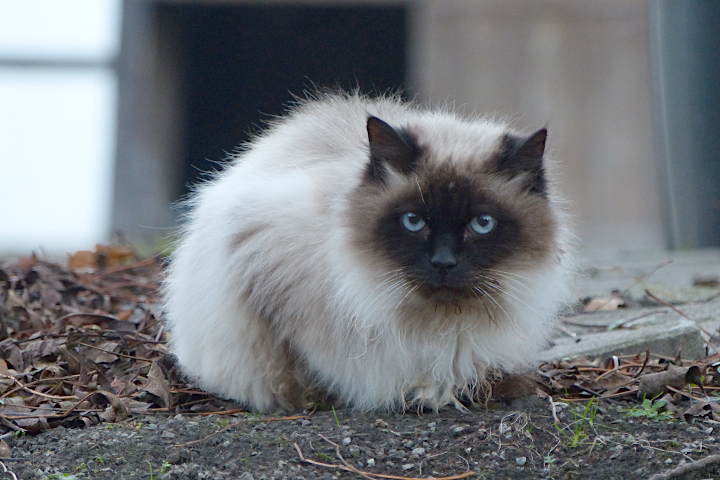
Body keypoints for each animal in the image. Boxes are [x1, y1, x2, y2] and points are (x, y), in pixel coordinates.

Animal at [163, 90, 572, 412]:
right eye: (413, 221)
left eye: (482, 224)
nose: (443, 263)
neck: (439, 324)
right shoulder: (258, 258)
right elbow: (301, 369)